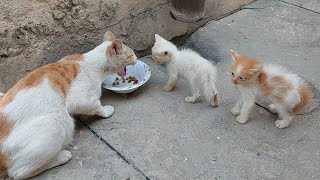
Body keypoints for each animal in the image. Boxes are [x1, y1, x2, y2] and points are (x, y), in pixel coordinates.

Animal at [0, 30, 136, 179]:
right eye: (131, 54)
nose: (136, 57)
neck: (91, 62)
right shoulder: (81, 99)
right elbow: (96, 106)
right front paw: (106, 111)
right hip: (57, 123)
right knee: (18, 173)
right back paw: (61, 157)